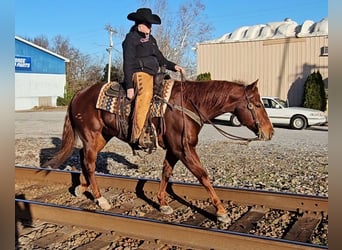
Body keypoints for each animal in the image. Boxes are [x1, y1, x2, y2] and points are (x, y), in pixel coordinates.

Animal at [43, 78, 272, 223]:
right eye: (258, 104)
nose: (270, 132)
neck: (189, 104)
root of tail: (78, 94)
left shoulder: (174, 150)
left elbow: (165, 173)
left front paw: (162, 204)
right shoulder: (184, 149)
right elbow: (203, 176)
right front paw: (221, 211)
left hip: (101, 136)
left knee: (84, 158)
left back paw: (81, 188)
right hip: (92, 135)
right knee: (89, 163)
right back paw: (101, 199)